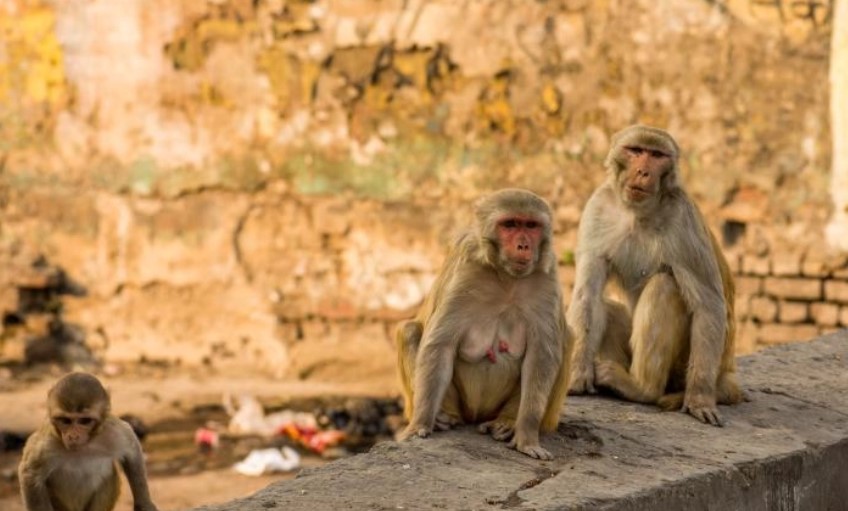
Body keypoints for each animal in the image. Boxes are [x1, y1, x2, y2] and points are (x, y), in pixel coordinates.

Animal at [18, 372, 159, 511]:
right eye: (65, 420)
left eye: (85, 421)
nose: (73, 436)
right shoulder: (48, 443)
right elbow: (30, 474)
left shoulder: (112, 432)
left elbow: (132, 450)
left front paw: (144, 504)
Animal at [396, 188, 571, 460]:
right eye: (510, 224)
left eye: (531, 225)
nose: (524, 245)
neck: (507, 278)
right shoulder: (465, 270)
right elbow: (440, 346)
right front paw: (420, 424)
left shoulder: (547, 275)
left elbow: (541, 356)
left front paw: (527, 437)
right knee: (410, 331)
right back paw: (444, 415)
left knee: (567, 339)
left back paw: (506, 421)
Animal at [566, 124, 744, 427]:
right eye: (636, 150)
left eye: (657, 155)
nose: (643, 172)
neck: (637, 213)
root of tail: (726, 373)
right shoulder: (598, 208)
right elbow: (587, 294)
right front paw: (577, 373)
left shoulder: (683, 219)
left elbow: (708, 306)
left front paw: (699, 398)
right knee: (607, 305)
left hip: (683, 367)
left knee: (664, 285)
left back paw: (641, 388)